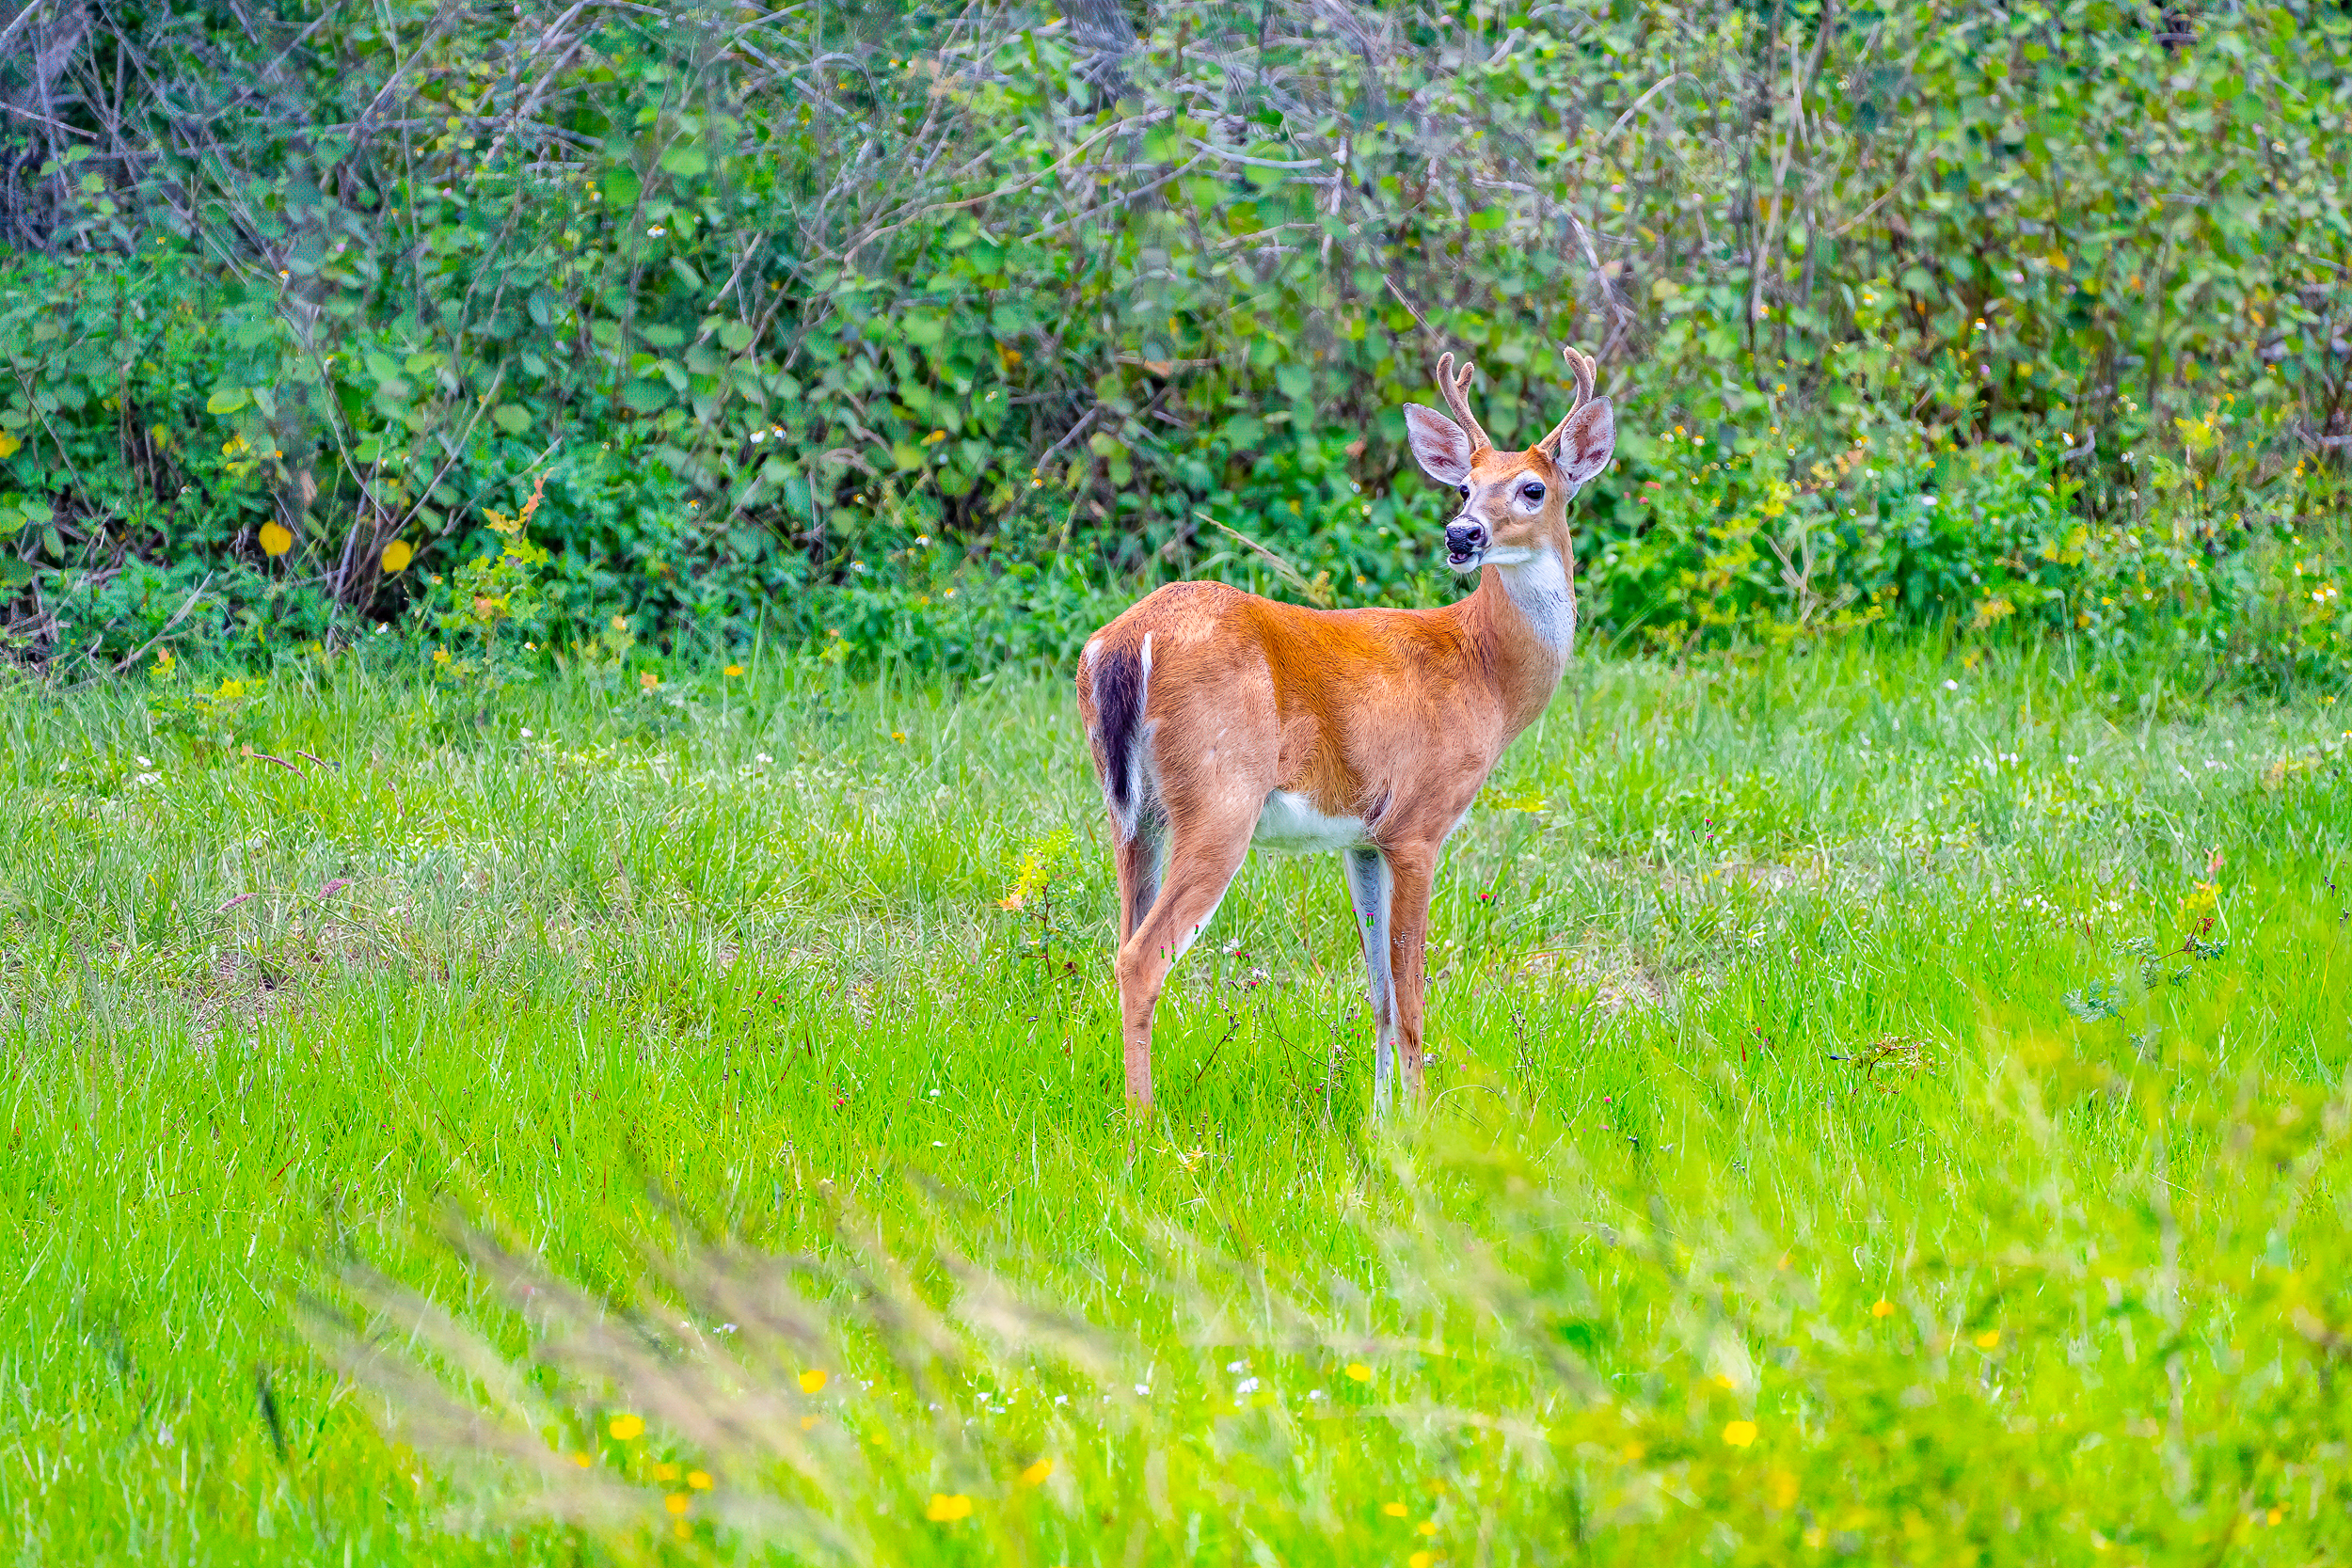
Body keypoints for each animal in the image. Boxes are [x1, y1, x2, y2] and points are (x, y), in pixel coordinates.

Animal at [1075, 343, 1618, 1114]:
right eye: (1464, 488)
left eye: (1533, 489)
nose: (1462, 535)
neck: (1484, 672)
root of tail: (1125, 643)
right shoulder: (1419, 820)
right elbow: (1413, 997)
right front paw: (1422, 1123)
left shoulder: (1362, 836)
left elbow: (1380, 994)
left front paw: (1380, 1119)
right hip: (1220, 794)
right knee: (1141, 957)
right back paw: (1147, 1124)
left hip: (1130, 810)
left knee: (1121, 937)